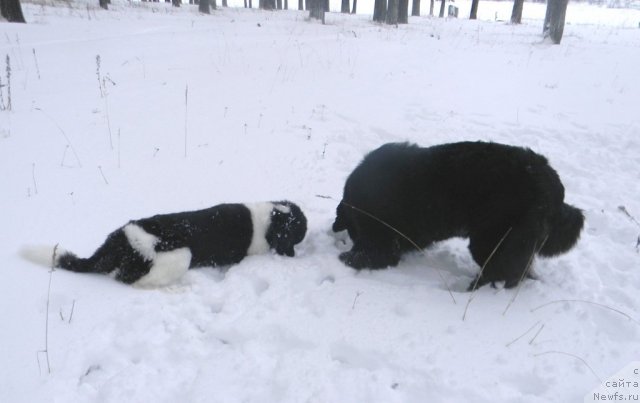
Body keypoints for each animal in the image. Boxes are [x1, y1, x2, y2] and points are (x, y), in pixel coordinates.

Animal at [21, 202, 306, 288]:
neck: (270, 218)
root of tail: (122, 240)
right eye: (298, 233)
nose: (294, 254)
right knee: (129, 279)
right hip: (179, 257)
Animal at [336, 142, 584, 290]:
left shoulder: (383, 243)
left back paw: (471, 289)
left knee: (500, 272)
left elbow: (366, 256)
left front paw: (346, 257)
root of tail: (554, 189)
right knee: (517, 271)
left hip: (491, 240)